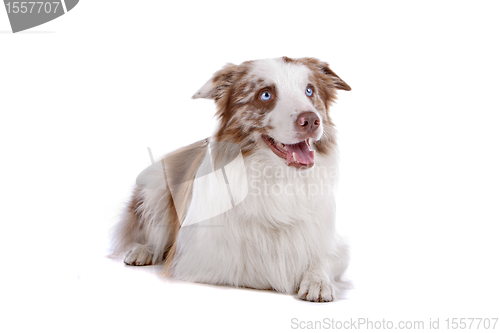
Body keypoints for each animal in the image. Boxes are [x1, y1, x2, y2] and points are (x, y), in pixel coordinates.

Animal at [110, 56, 352, 300]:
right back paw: (142, 250)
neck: (277, 179)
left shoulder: (333, 242)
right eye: (265, 94)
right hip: (155, 187)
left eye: (309, 91)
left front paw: (317, 280)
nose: (311, 120)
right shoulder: (199, 257)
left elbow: (324, 257)